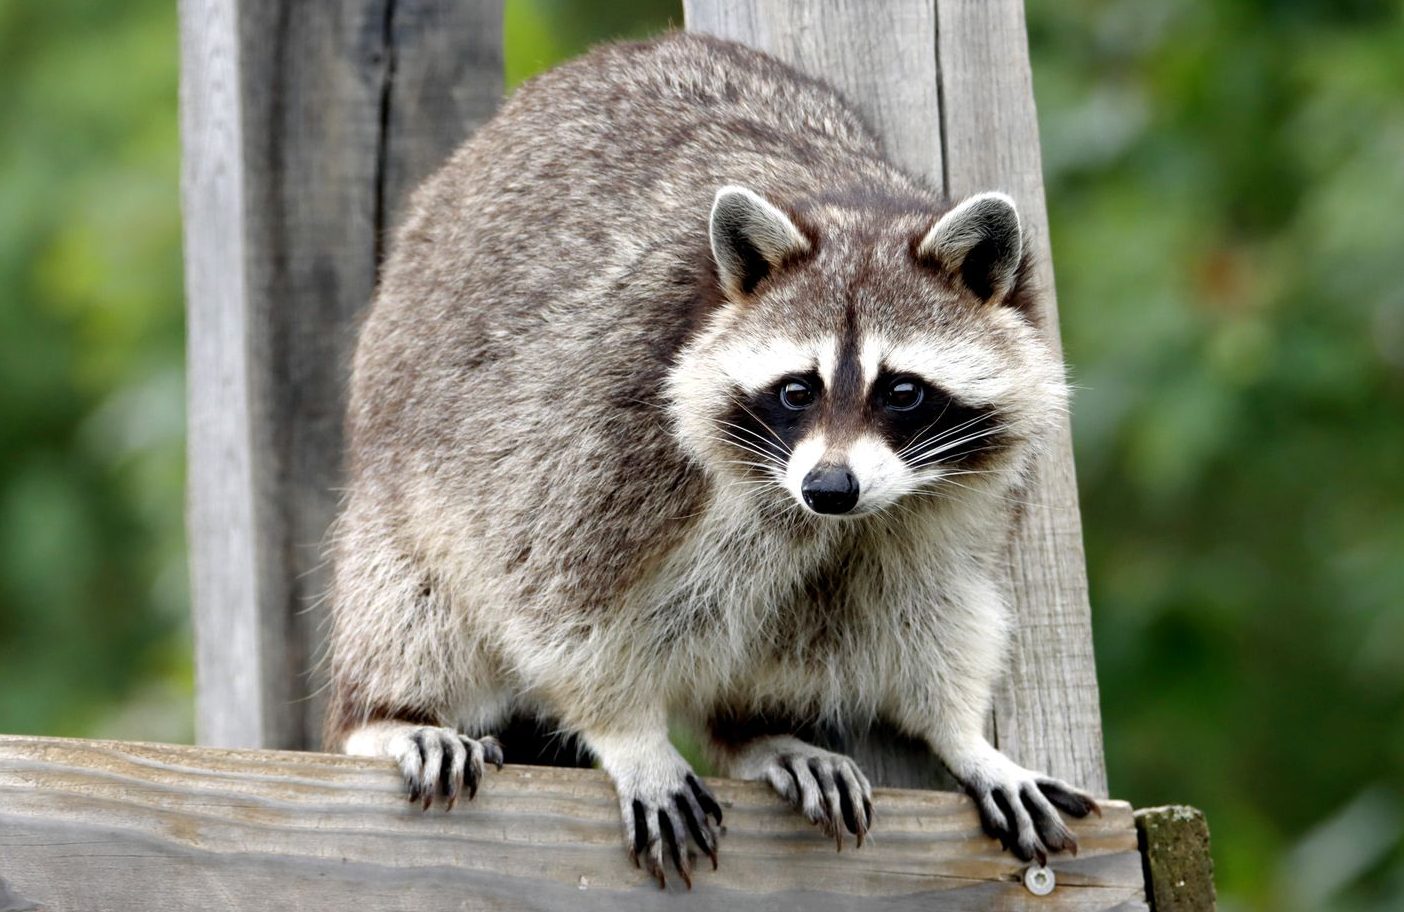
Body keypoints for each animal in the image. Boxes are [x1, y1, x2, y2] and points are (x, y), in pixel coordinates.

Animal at [326, 31, 1098, 886]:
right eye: (797, 390)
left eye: (902, 392)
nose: (830, 488)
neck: (851, 203)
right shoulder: (605, 425)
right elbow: (554, 600)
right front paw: (628, 732)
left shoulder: (948, 500)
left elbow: (935, 604)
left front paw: (960, 734)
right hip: (401, 485)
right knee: (414, 600)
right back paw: (387, 712)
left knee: (811, 612)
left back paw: (757, 730)